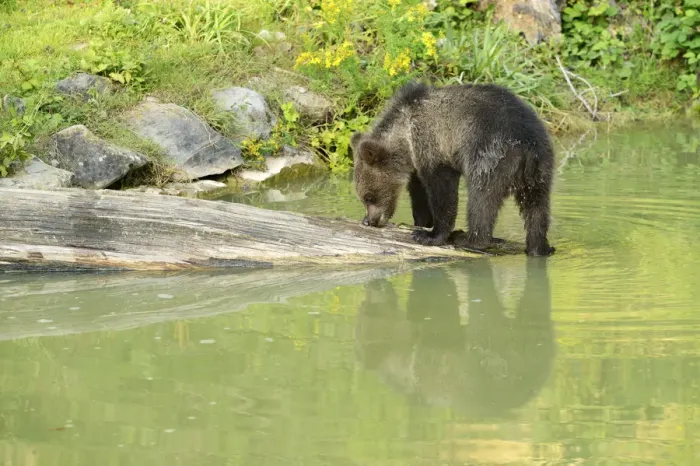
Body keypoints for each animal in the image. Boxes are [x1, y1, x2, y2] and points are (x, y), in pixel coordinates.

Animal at [350, 81, 556, 256]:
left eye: (369, 197)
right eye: (364, 198)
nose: (372, 221)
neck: (406, 138)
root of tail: (527, 145)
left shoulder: (434, 145)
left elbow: (442, 191)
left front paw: (429, 235)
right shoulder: (418, 161)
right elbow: (419, 194)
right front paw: (422, 223)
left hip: (491, 154)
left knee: (482, 199)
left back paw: (468, 239)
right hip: (541, 166)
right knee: (537, 207)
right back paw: (539, 248)